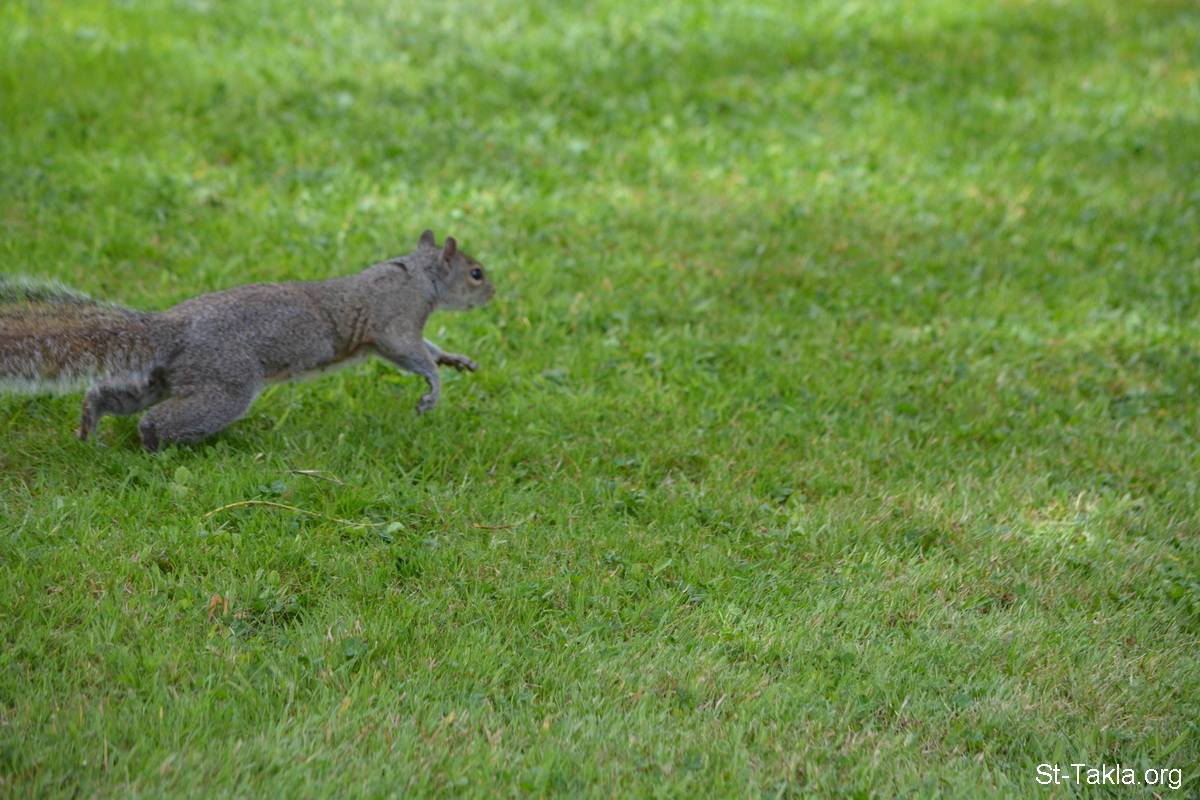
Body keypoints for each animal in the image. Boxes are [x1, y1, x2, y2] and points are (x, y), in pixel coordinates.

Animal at [0, 229, 495, 451]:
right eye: (475, 273)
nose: (493, 293)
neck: (420, 276)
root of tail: (170, 328)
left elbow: (429, 350)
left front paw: (455, 359)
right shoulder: (394, 325)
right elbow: (412, 355)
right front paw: (433, 389)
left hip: (162, 378)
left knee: (109, 395)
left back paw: (89, 426)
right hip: (225, 385)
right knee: (161, 419)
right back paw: (153, 444)